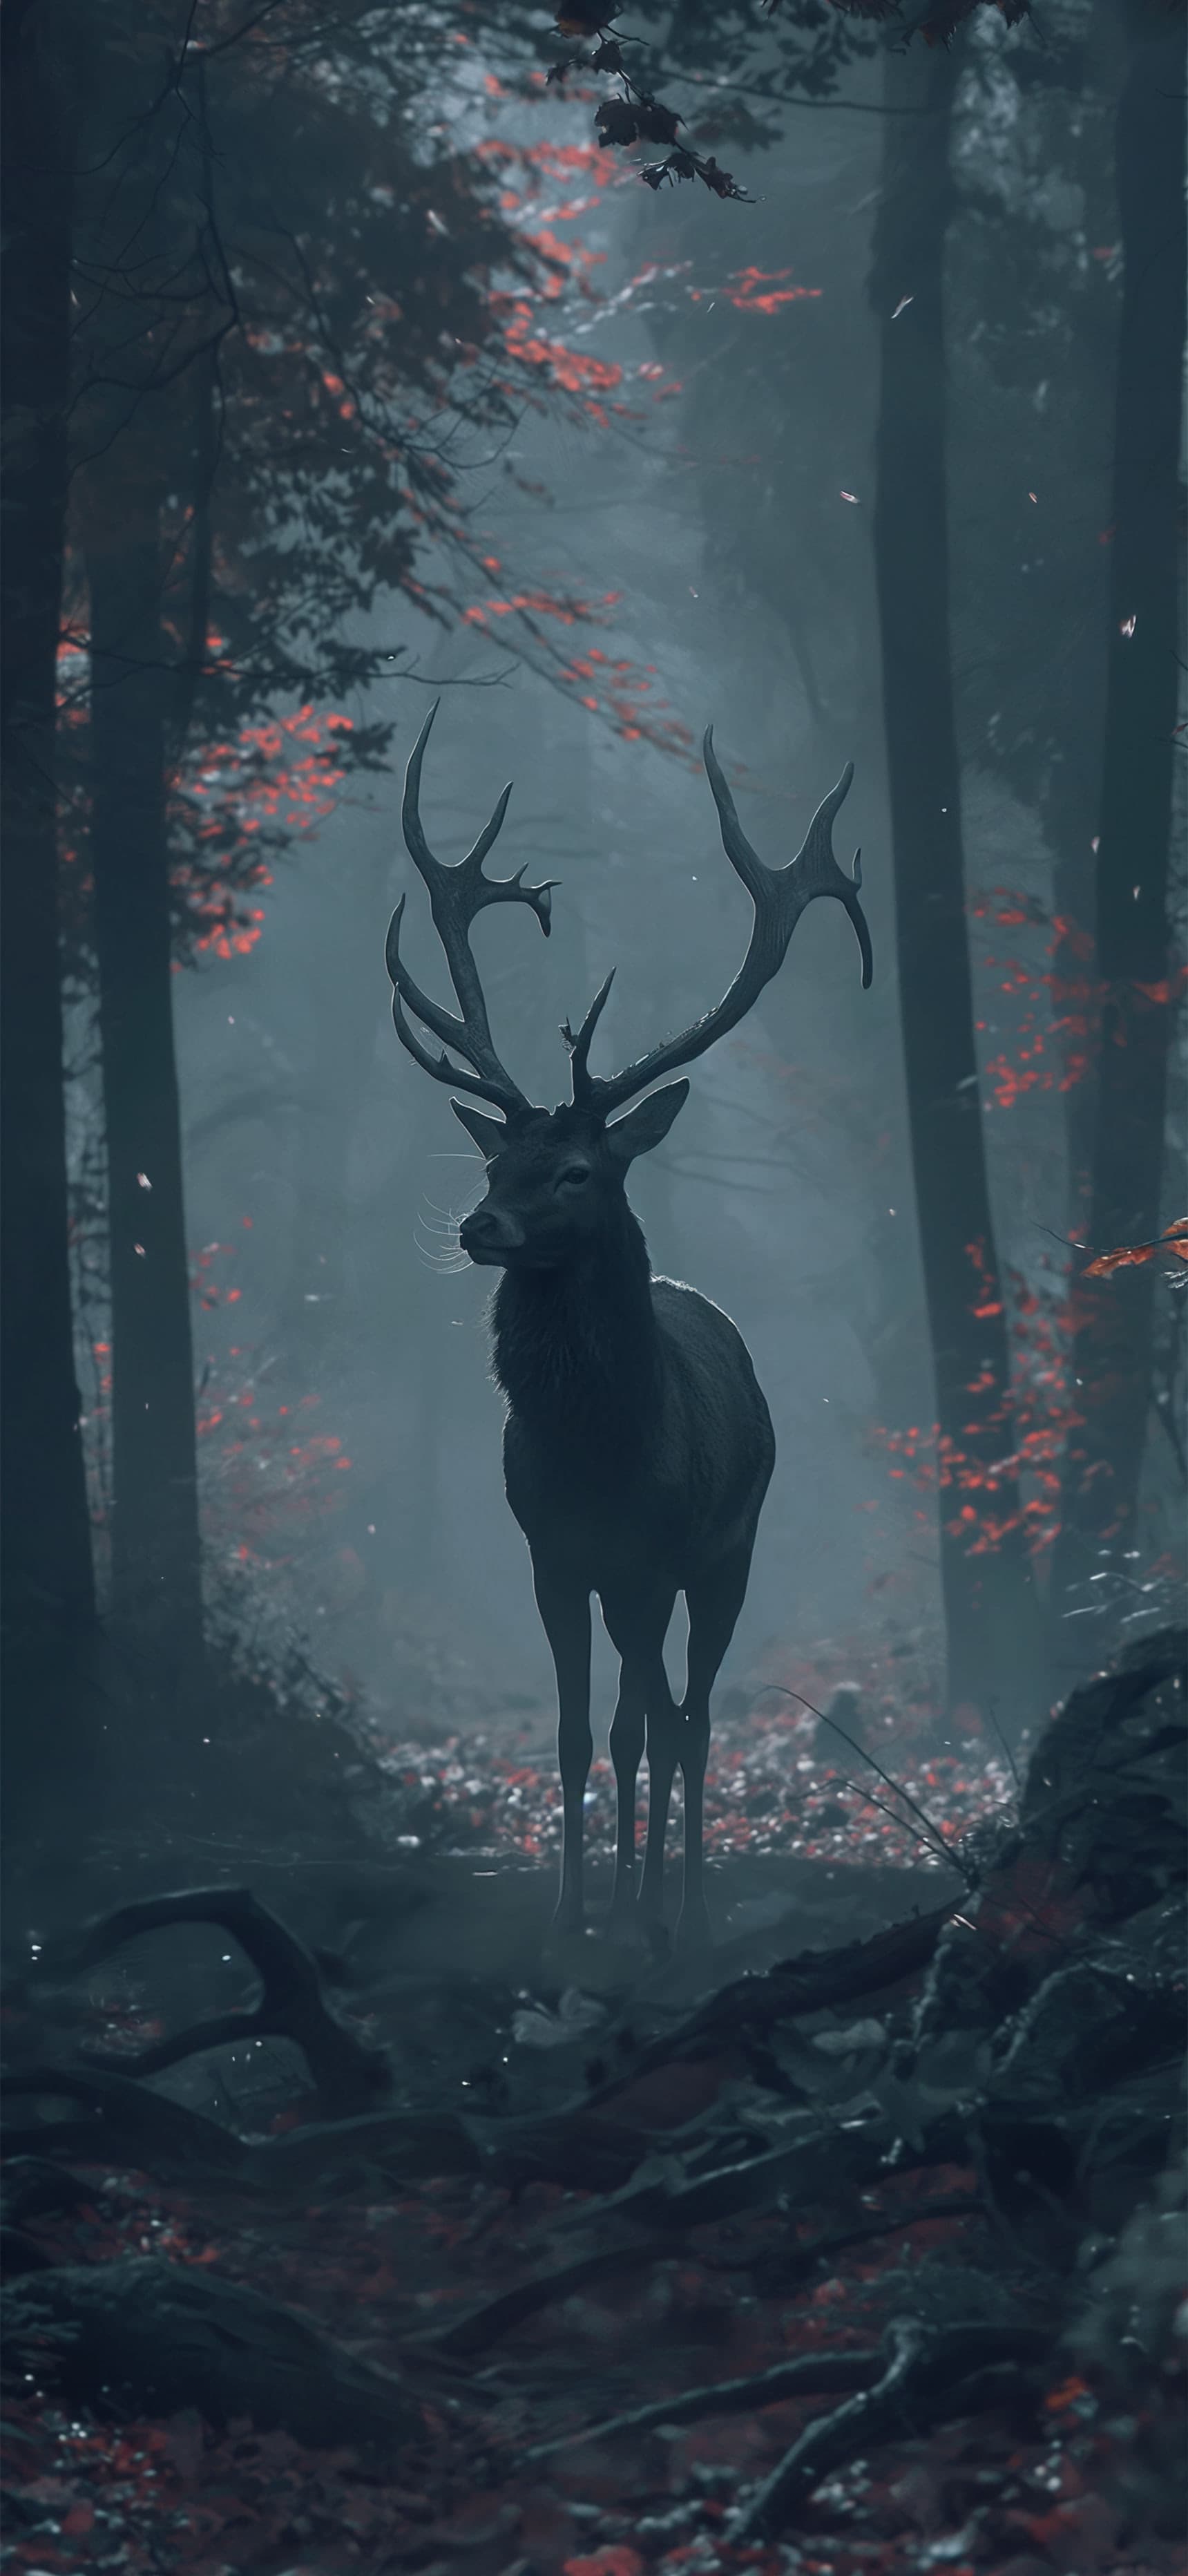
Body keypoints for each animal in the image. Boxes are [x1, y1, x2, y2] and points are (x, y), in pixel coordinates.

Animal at [386, 704, 872, 1947]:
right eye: (491, 1161)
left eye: (574, 1172)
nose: (480, 1225)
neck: (596, 1453)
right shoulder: (555, 1558)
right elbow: (573, 1734)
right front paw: (572, 1912)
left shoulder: (657, 1555)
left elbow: (642, 1731)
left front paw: (642, 1912)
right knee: (654, 1716)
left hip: (731, 1552)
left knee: (689, 1719)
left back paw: (684, 1904)